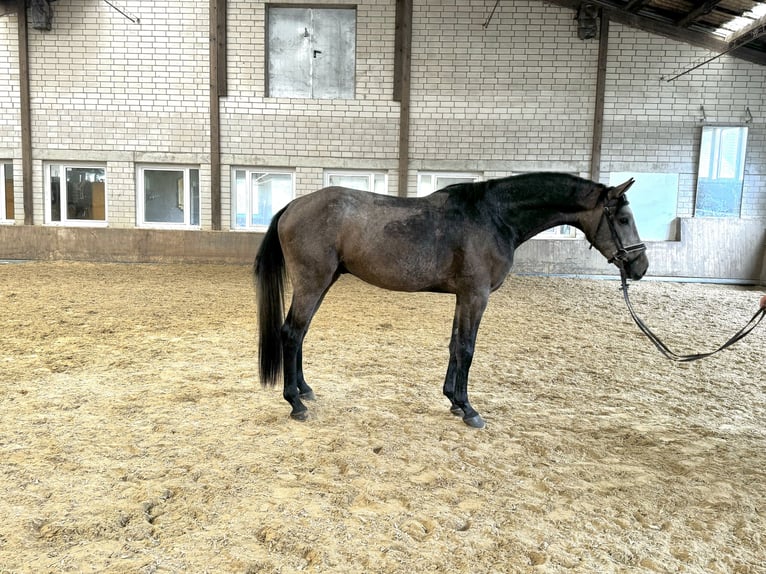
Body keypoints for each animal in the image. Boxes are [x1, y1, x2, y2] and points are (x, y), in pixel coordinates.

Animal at [254, 172, 648, 428]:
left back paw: (305, 391)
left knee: (300, 334)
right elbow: (467, 349)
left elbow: (455, 345)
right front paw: (469, 409)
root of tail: (293, 206)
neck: (493, 217)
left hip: (323, 283)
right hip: (313, 283)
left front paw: (454, 401)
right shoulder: (476, 295)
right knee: (291, 333)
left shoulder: (465, 296)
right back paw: (295, 403)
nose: (641, 266)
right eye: (623, 218)